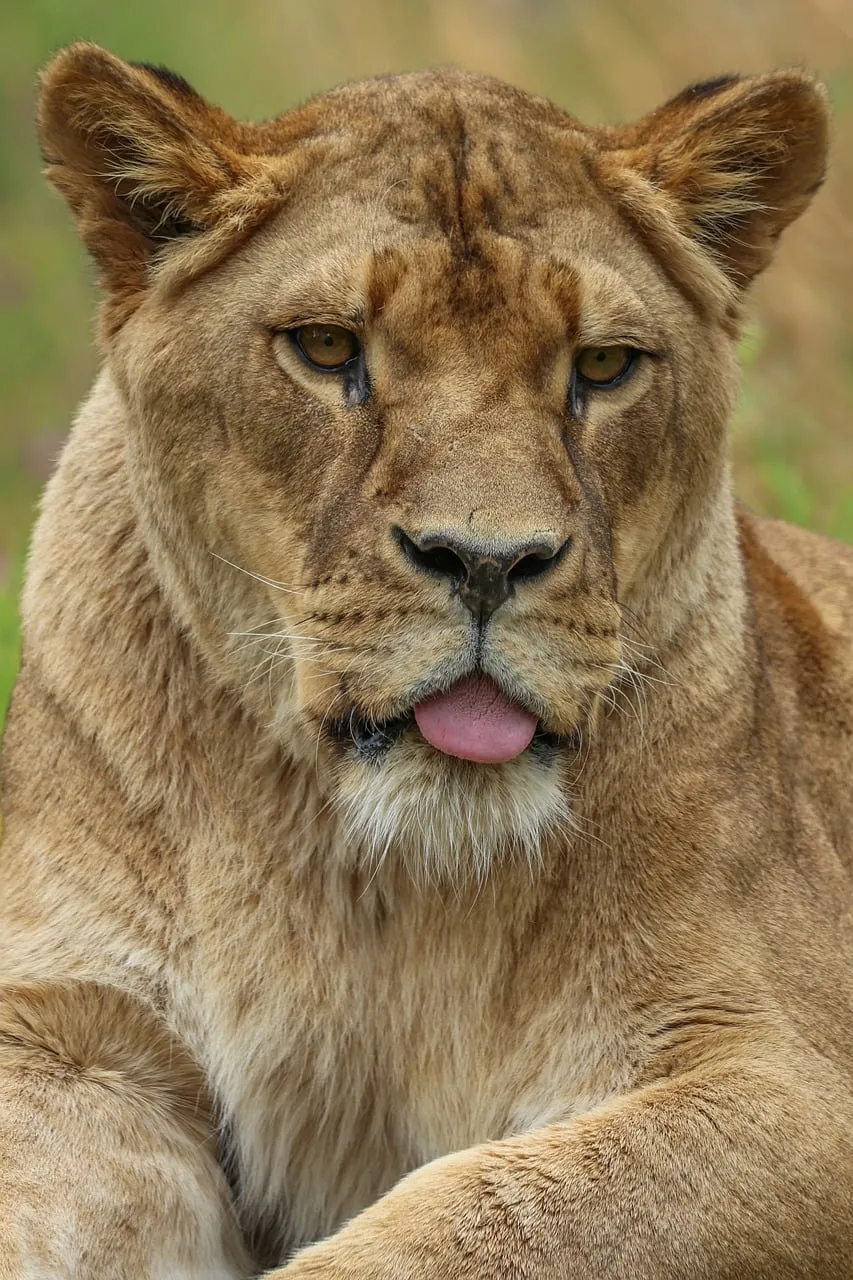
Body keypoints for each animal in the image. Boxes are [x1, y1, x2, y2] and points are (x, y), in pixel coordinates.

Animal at [0, 40, 851, 1278]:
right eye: (325, 348)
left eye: (604, 364)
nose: (486, 559)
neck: (382, 882)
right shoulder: (70, 1023)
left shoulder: (787, 1079)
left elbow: (490, 1216)